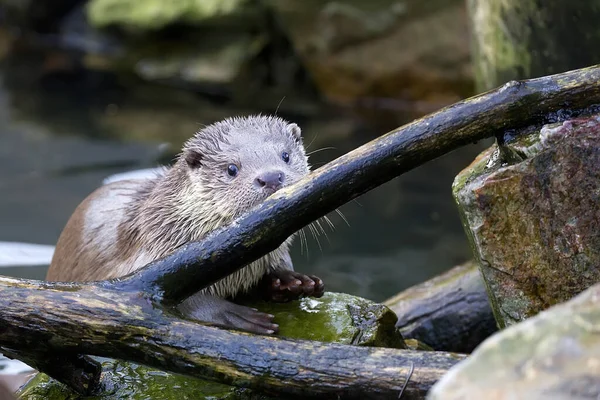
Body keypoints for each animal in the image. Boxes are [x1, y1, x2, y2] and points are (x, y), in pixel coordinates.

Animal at [47, 115, 324, 334]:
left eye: (285, 156)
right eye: (231, 169)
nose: (270, 177)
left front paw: (292, 280)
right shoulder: (148, 259)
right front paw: (235, 315)